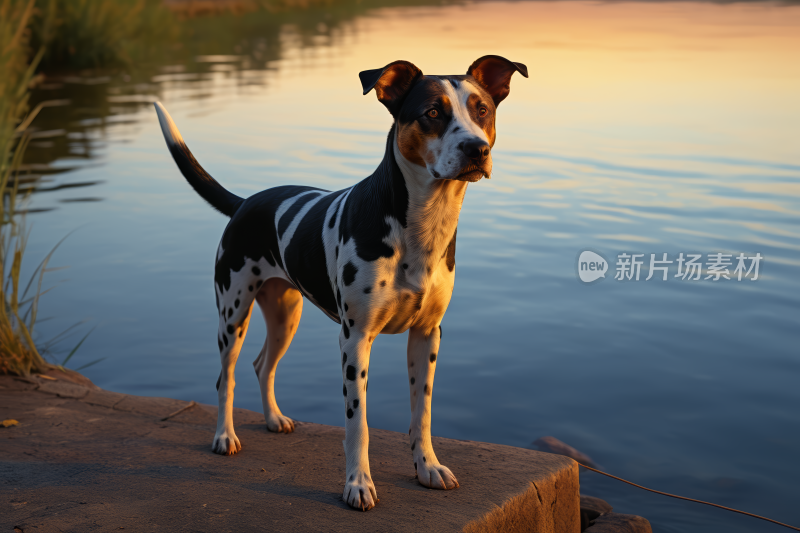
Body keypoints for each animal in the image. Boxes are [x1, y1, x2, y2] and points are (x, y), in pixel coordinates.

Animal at [155, 56, 532, 510]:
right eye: (432, 112)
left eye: (482, 110)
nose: (477, 149)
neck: (421, 226)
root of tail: (245, 203)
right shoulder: (355, 339)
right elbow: (358, 424)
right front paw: (358, 484)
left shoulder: (427, 334)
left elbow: (421, 412)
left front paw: (427, 467)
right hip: (233, 312)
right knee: (225, 375)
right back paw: (225, 436)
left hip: (285, 314)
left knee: (263, 364)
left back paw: (274, 419)